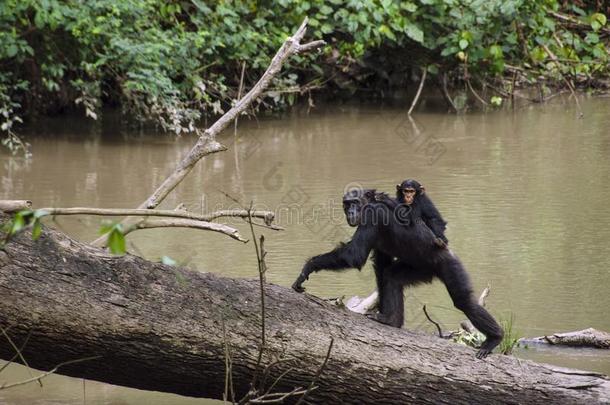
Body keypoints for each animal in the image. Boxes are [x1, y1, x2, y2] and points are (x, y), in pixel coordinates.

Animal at [292, 186, 502, 356]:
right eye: (347, 203)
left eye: (355, 202)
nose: (350, 210)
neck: (371, 202)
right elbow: (381, 266)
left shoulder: (372, 214)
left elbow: (354, 254)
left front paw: (308, 267)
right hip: (420, 270)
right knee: (392, 277)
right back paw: (392, 321)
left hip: (449, 264)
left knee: (464, 301)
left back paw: (494, 338)